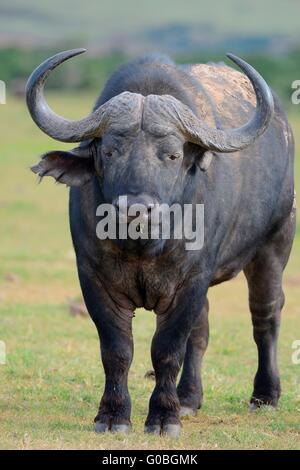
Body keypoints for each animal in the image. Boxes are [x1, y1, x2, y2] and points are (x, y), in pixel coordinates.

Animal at [25, 50, 296, 436]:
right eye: (109, 152)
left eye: (172, 155)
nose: (135, 209)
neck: (143, 245)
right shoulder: (93, 278)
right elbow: (117, 349)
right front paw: (113, 416)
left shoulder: (191, 281)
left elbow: (167, 349)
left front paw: (163, 418)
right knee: (201, 331)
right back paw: (188, 398)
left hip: (274, 245)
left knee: (266, 315)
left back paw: (265, 395)